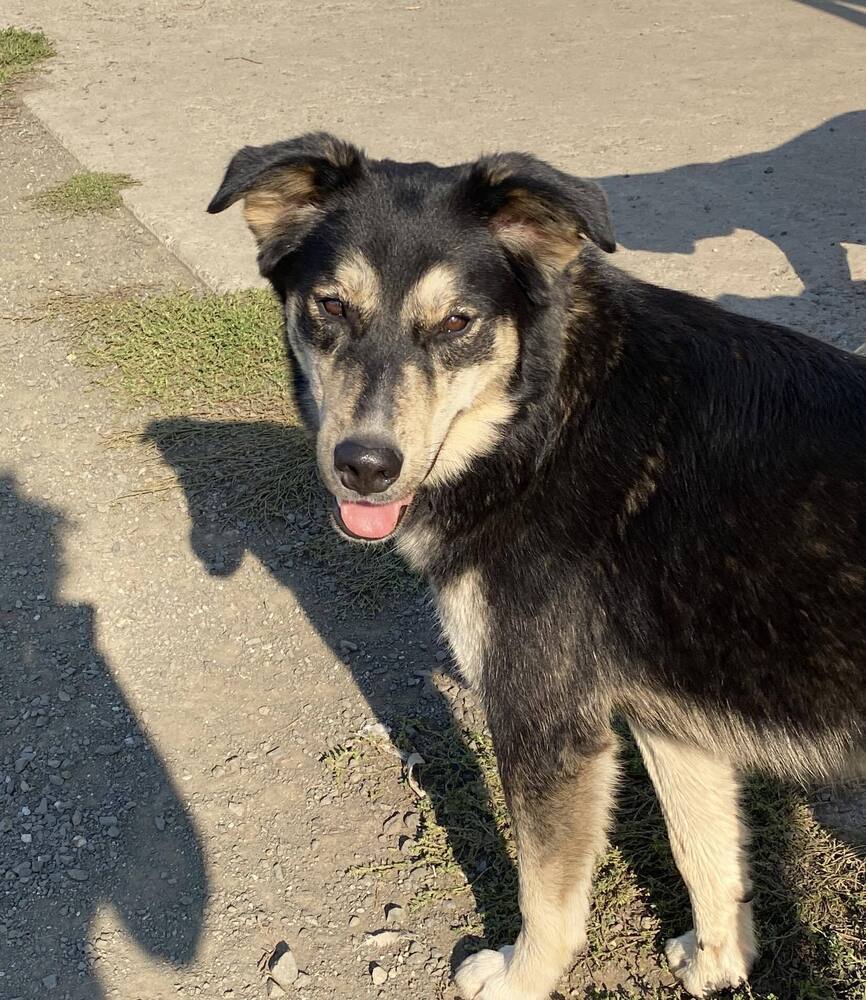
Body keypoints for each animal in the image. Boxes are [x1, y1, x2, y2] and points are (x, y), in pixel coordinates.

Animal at [209, 135, 864, 1000]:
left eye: (458, 322)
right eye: (332, 307)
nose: (365, 468)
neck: (545, 421)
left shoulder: (546, 721)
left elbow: (546, 890)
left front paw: (523, 977)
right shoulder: (669, 718)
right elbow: (705, 852)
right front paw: (720, 962)